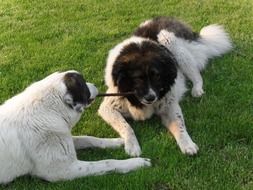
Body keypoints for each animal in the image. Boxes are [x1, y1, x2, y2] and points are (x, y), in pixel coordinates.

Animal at [0, 70, 150, 184]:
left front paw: (117, 141)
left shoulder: (64, 139)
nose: (94, 84)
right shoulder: (62, 170)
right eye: (83, 84)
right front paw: (138, 163)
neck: (51, 110)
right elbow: (107, 162)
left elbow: (89, 138)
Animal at [98, 16, 232, 157]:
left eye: (156, 76)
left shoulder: (169, 104)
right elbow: (126, 126)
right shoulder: (109, 106)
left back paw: (197, 89)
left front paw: (188, 144)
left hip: (169, 40)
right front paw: (132, 145)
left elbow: (180, 125)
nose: (151, 97)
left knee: (196, 74)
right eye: (138, 78)